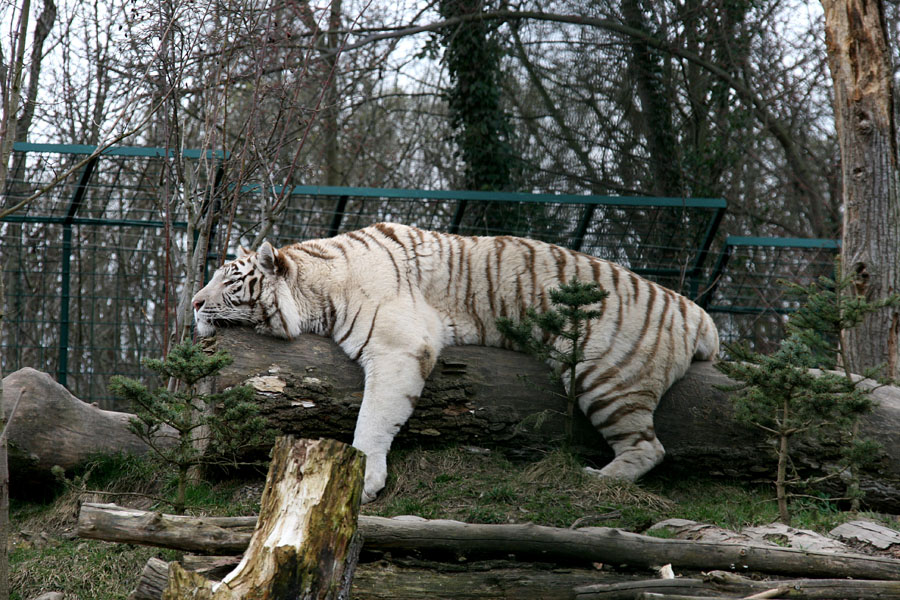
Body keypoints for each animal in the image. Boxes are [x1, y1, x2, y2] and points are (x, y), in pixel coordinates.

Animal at [193, 223, 720, 504]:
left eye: (230, 281)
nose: (194, 304)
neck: (317, 288)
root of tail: (695, 311)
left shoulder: (400, 344)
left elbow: (373, 417)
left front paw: (365, 480)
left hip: (606, 374)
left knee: (650, 447)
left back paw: (596, 479)